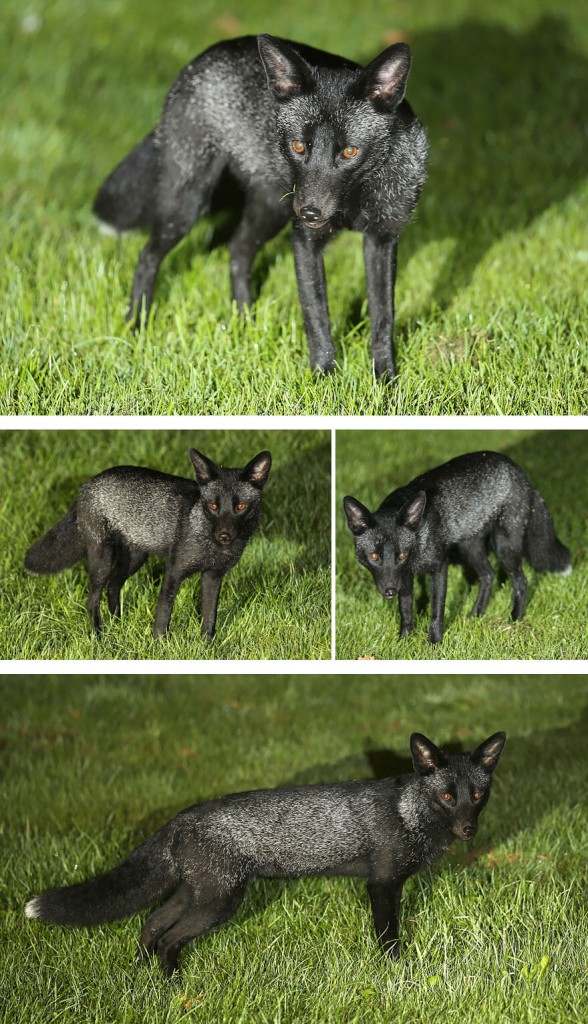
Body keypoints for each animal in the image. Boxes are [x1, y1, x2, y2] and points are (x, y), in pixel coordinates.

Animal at [24, 447, 271, 639]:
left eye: (241, 507)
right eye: (213, 506)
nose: (224, 536)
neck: (211, 545)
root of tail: (88, 485)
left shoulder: (213, 575)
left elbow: (209, 617)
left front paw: (207, 646)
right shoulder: (174, 571)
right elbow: (163, 614)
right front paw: (159, 644)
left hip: (135, 559)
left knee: (113, 585)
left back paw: (118, 623)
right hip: (103, 558)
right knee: (92, 599)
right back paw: (99, 636)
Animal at [25, 731, 505, 978]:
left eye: (478, 795)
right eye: (447, 795)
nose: (468, 830)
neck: (411, 813)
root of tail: (180, 818)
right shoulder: (383, 884)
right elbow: (389, 939)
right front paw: (397, 975)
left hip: (197, 894)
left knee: (151, 925)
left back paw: (146, 979)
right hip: (219, 903)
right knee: (167, 938)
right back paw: (172, 983)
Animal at [93, 34, 428, 381]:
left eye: (349, 152)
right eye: (298, 146)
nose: (310, 213)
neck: (356, 198)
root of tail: (202, 58)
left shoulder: (382, 239)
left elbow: (383, 317)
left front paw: (385, 379)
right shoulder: (305, 241)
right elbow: (316, 318)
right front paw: (324, 379)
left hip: (271, 212)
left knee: (237, 250)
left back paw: (245, 321)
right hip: (189, 205)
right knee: (147, 256)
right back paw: (136, 324)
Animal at [344, 450, 571, 644]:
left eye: (401, 555)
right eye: (374, 557)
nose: (389, 591)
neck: (421, 536)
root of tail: (522, 476)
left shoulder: (438, 566)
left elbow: (437, 611)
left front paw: (434, 643)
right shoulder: (405, 575)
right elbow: (406, 609)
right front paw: (404, 640)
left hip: (503, 546)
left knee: (521, 581)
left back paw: (514, 619)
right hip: (469, 548)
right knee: (488, 575)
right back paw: (476, 615)